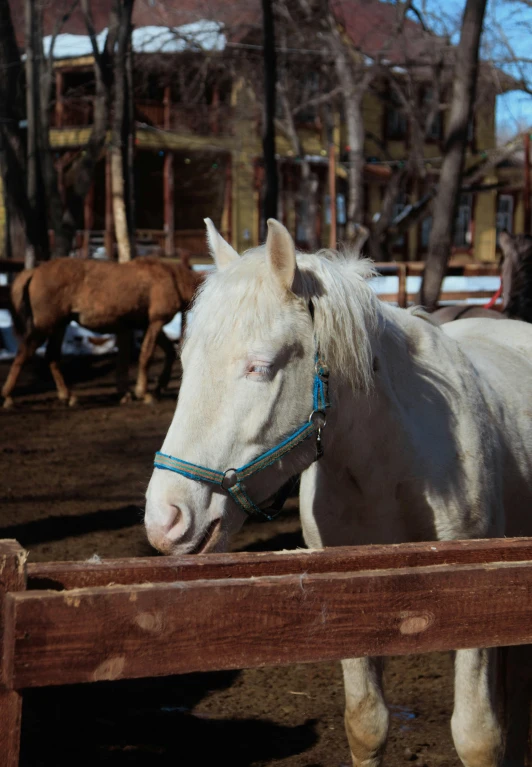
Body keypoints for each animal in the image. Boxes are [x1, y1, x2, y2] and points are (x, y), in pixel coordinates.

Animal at [1, 256, 204, 408]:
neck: (173, 278)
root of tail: (34, 271)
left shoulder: (147, 324)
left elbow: (169, 352)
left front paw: (158, 388)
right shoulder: (155, 322)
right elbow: (146, 356)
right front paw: (144, 392)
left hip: (59, 327)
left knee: (52, 357)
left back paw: (68, 396)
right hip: (44, 327)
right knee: (23, 354)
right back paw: (8, 397)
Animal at [143, 219, 532, 767]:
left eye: (260, 367)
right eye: (186, 360)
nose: (166, 519)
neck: (390, 464)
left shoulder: (477, 596)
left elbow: (477, 735)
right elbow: (367, 725)